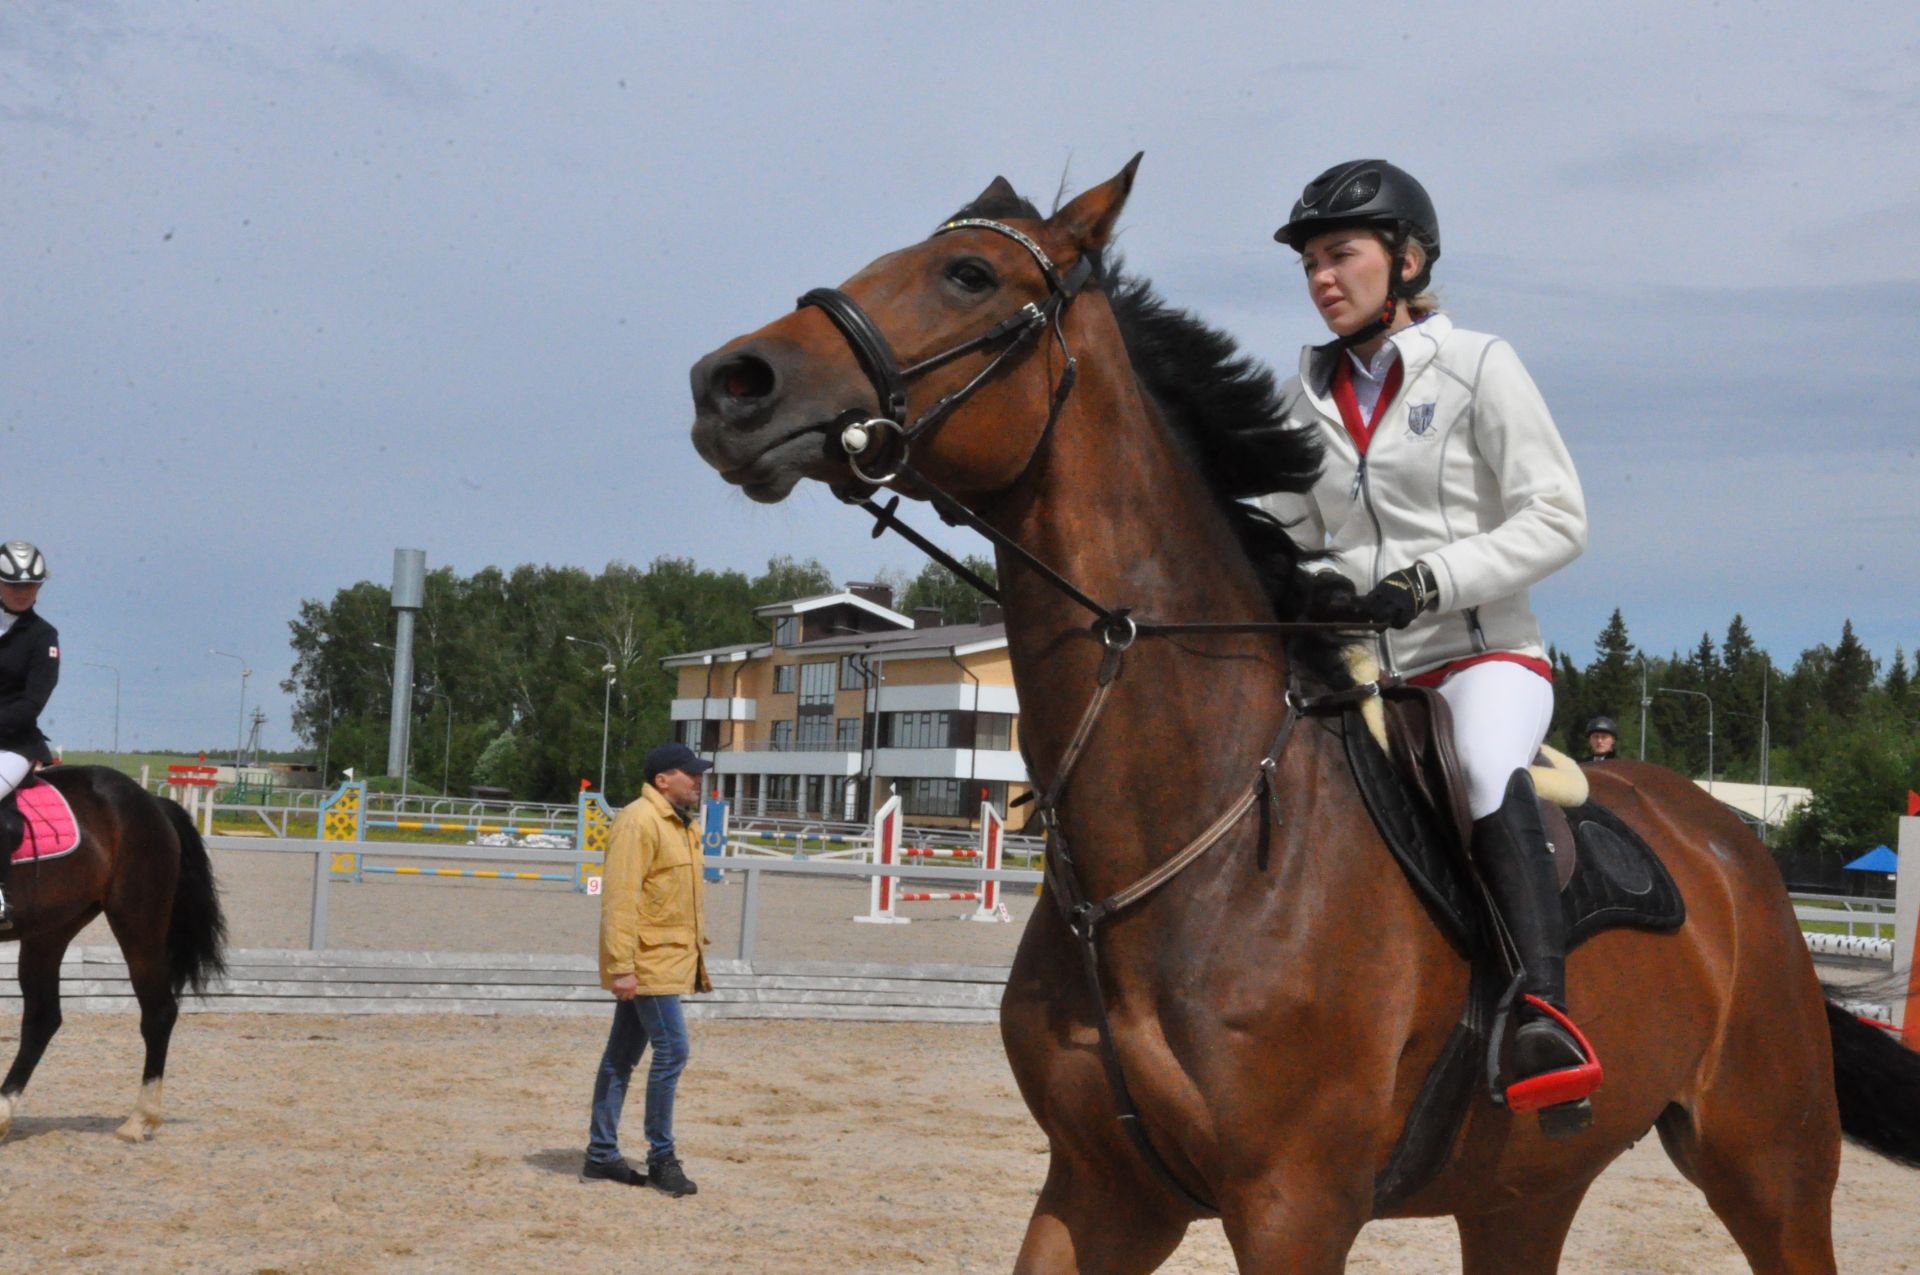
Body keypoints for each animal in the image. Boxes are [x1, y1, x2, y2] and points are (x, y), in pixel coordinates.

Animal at [0, 768, 226, 1144]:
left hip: (137, 921)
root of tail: (152, 802)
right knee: (42, 1018)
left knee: (159, 1013)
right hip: (50, 929)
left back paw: (139, 1120)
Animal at [691, 154, 1920, 1267]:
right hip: (1525, 1187)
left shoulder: (1295, 1204)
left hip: (1768, 1164)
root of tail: (1733, 849)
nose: (729, 383)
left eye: (967, 275)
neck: (1195, 832)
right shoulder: (1102, 1189)